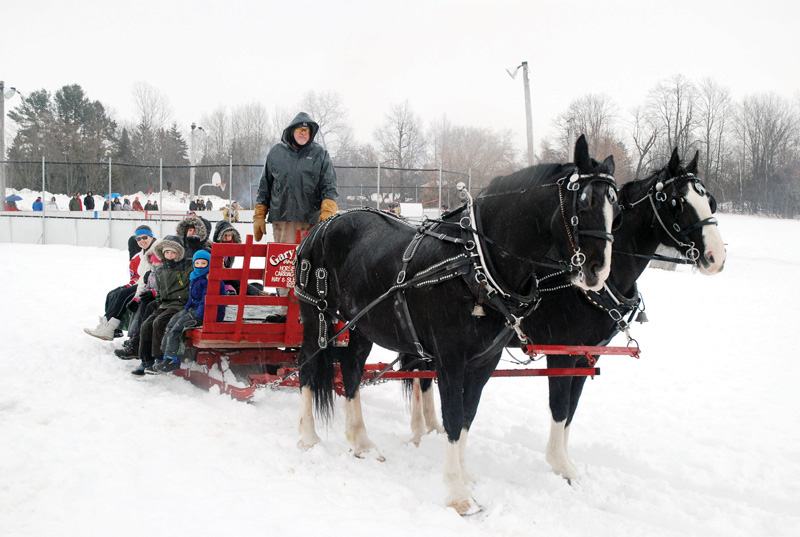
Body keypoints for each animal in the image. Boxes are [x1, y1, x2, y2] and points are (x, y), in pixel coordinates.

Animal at [294, 133, 620, 510]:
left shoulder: (483, 362)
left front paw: (465, 475)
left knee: (350, 372)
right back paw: (308, 437)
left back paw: (361, 442)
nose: (598, 271)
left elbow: (466, 416)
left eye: (616, 208)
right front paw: (457, 494)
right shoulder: (449, 359)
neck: (476, 263)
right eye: (583, 202)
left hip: (362, 326)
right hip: (315, 315)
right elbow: (451, 416)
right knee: (307, 367)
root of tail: (322, 226)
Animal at [406, 147, 724, 482]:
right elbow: (560, 406)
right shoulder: (562, 353)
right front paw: (559, 464)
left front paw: (565, 461)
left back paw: (429, 427)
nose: (717, 257)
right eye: (677, 202)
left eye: (710, 200)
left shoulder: (587, 355)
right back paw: (420, 430)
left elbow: (571, 409)